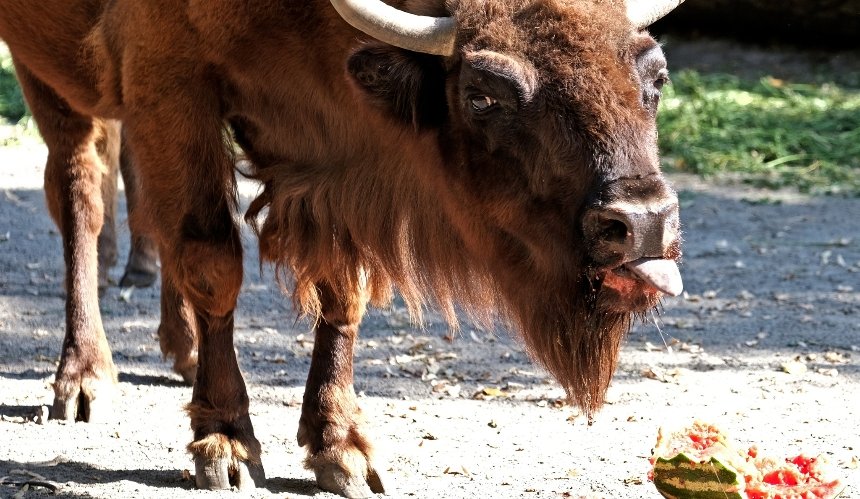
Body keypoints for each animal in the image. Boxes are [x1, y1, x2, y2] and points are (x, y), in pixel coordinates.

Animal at [1, 0, 684, 496]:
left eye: (655, 79)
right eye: (484, 94)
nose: (641, 223)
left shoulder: (336, 156)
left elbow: (343, 291)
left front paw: (342, 451)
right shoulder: (172, 80)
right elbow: (213, 258)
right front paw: (225, 443)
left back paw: (184, 349)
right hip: (48, 73)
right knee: (82, 193)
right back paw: (84, 380)